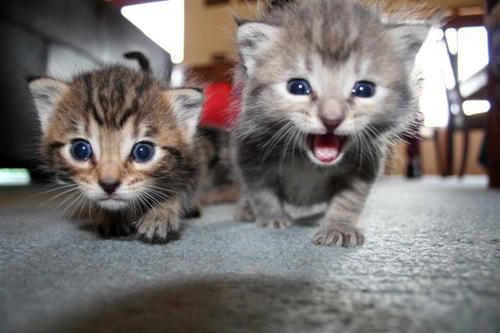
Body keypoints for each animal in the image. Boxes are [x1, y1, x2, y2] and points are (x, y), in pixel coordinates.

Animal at [29, 65, 203, 241]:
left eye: (143, 152)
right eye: (80, 150)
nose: (109, 185)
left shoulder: (192, 165)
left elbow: (179, 189)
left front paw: (160, 213)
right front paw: (111, 218)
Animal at [232, 0, 428, 246]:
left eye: (364, 90)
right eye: (298, 87)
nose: (331, 119)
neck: (307, 161)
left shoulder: (364, 165)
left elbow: (349, 200)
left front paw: (339, 227)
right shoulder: (250, 155)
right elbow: (261, 193)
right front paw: (271, 218)